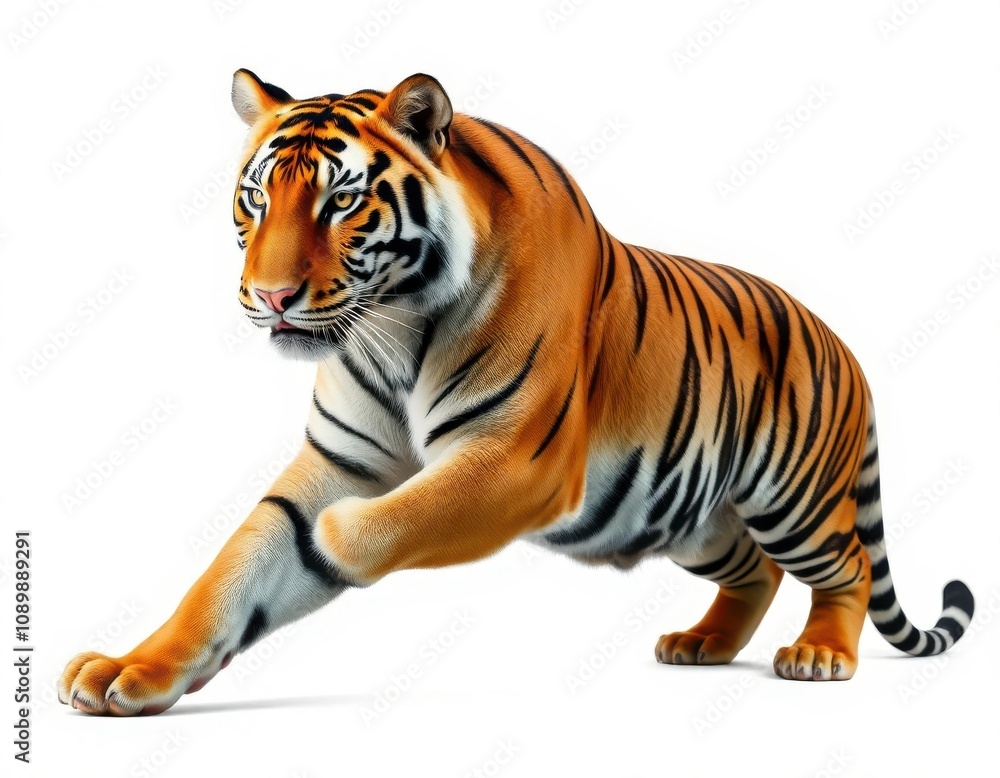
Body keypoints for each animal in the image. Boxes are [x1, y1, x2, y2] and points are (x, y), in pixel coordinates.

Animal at [60, 69, 975, 716]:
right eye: (255, 198)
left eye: (341, 201)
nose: (271, 296)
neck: (393, 327)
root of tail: (843, 344)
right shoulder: (338, 458)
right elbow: (234, 569)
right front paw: (127, 671)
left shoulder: (514, 459)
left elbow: (396, 517)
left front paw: (334, 536)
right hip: (693, 517)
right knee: (754, 571)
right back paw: (703, 643)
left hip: (793, 497)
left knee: (846, 565)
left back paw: (821, 656)